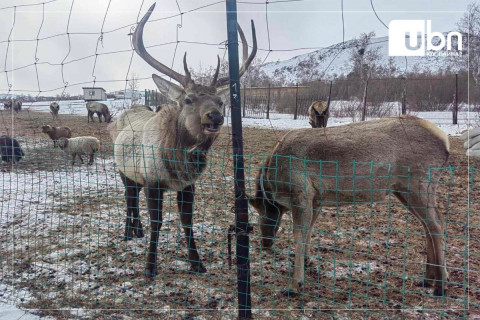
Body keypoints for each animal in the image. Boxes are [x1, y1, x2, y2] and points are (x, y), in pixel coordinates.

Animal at [109, 2, 256, 276]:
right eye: (188, 99)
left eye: (220, 101)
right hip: (123, 169)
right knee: (128, 197)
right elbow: (157, 222)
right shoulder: (153, 180)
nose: (215, 116)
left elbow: (187, 221)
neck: (177, 166)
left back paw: (136, 230)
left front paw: (197, 263)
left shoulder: (189, 184)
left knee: (133, 197)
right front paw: (150, 266)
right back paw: (127, 232)